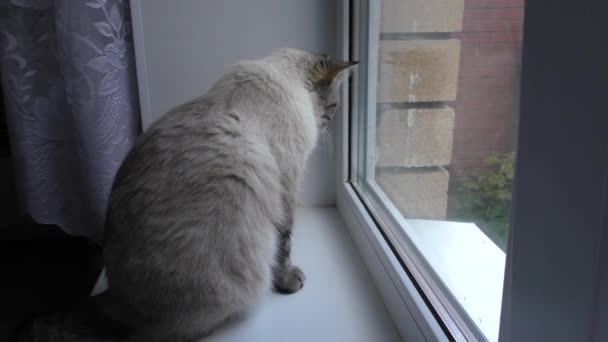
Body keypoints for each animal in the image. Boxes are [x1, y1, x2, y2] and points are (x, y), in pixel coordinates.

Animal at [11, 48, 356, 342]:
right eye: (334, 107)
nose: (330, 122)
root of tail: (117, 300)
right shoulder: (286, 186)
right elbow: (285, 243)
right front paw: (288, 282)